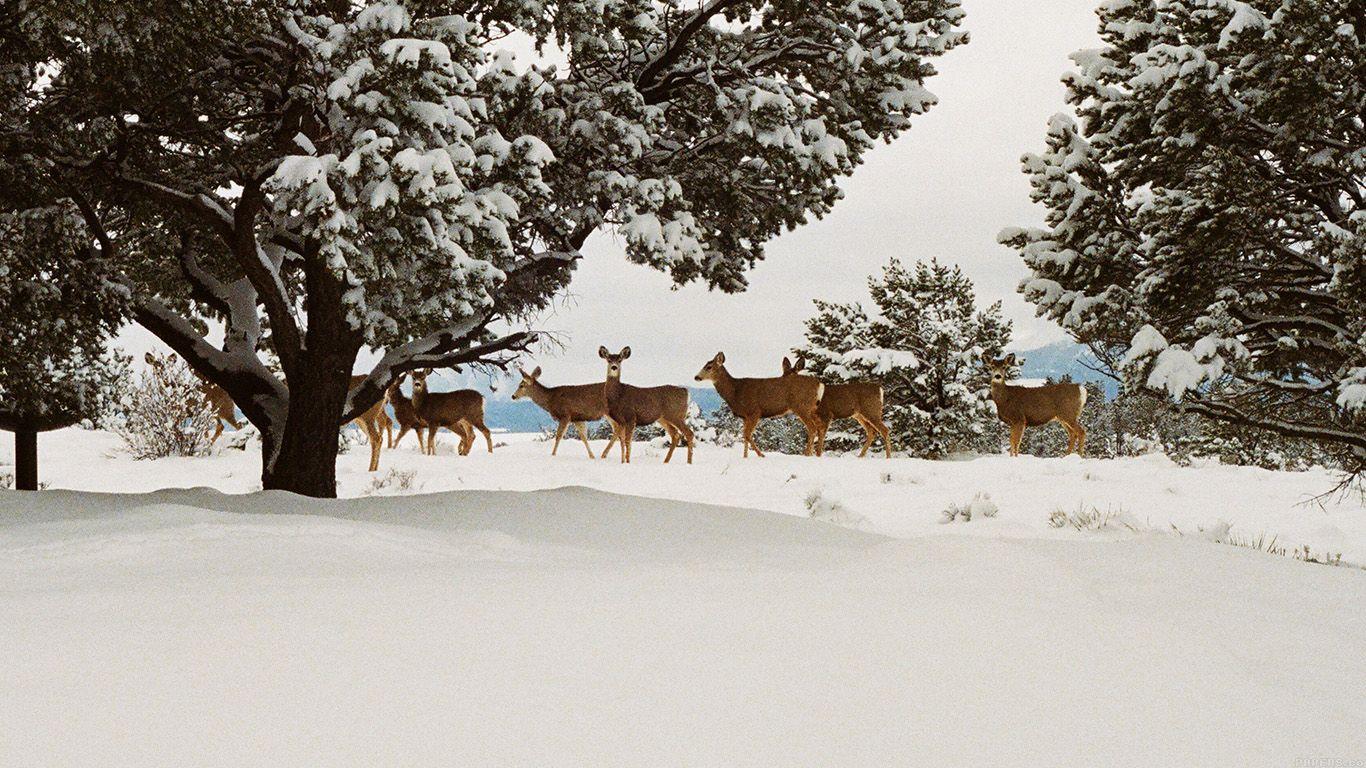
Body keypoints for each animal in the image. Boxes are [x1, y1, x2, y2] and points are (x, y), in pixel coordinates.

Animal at [694, 351, 824, 458]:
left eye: (709, 367)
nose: (696, 377)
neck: (735, 392)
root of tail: (820, 384)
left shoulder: (754, 412)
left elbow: (747, 435)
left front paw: (761, 455)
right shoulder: (745, 416)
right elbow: (744, 436)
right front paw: (745, 457)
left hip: (802, 406)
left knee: (812, 428)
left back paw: (806, 454)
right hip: (812, 408)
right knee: (820, 427)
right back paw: (815, 454)